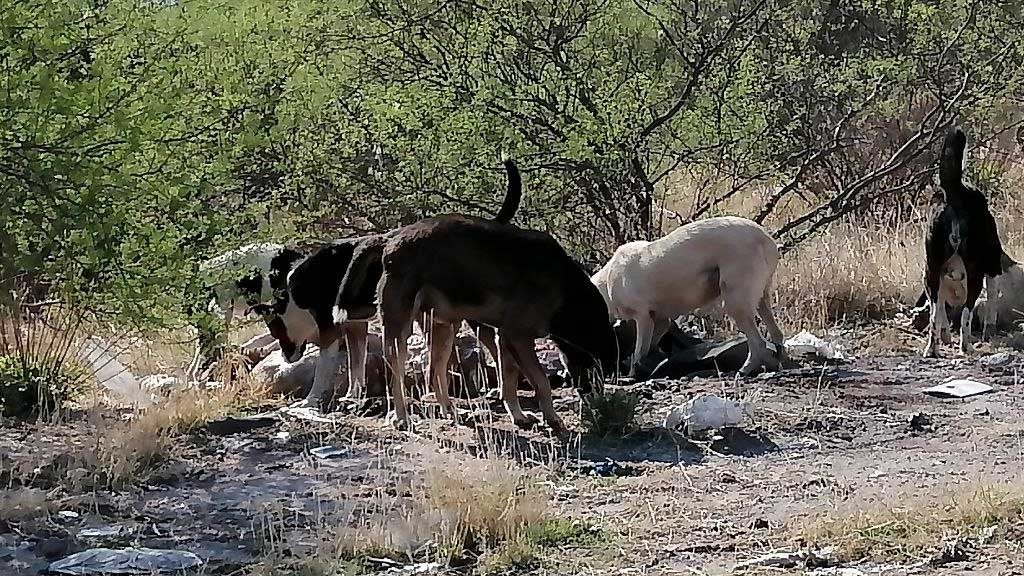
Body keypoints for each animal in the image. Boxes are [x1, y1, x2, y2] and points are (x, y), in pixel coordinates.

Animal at [593, 217, 782, 375]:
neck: (607, 281)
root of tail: (765, 237)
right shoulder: (661, 320)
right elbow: (647, 348)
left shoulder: (643, 317)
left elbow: (639, 352)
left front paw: (633, 373)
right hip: (761, 299)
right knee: (777, 334)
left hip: (735, 301)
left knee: (758, 343)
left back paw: (745, 369)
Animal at [921, 127, 1007, 356]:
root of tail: (954, 193)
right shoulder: (992, 269)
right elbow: (990, 304)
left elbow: (940, 316)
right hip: (975, 274)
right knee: (966, 316)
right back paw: (966, 345)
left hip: (931, 273)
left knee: (934, 315)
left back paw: (932, 349)